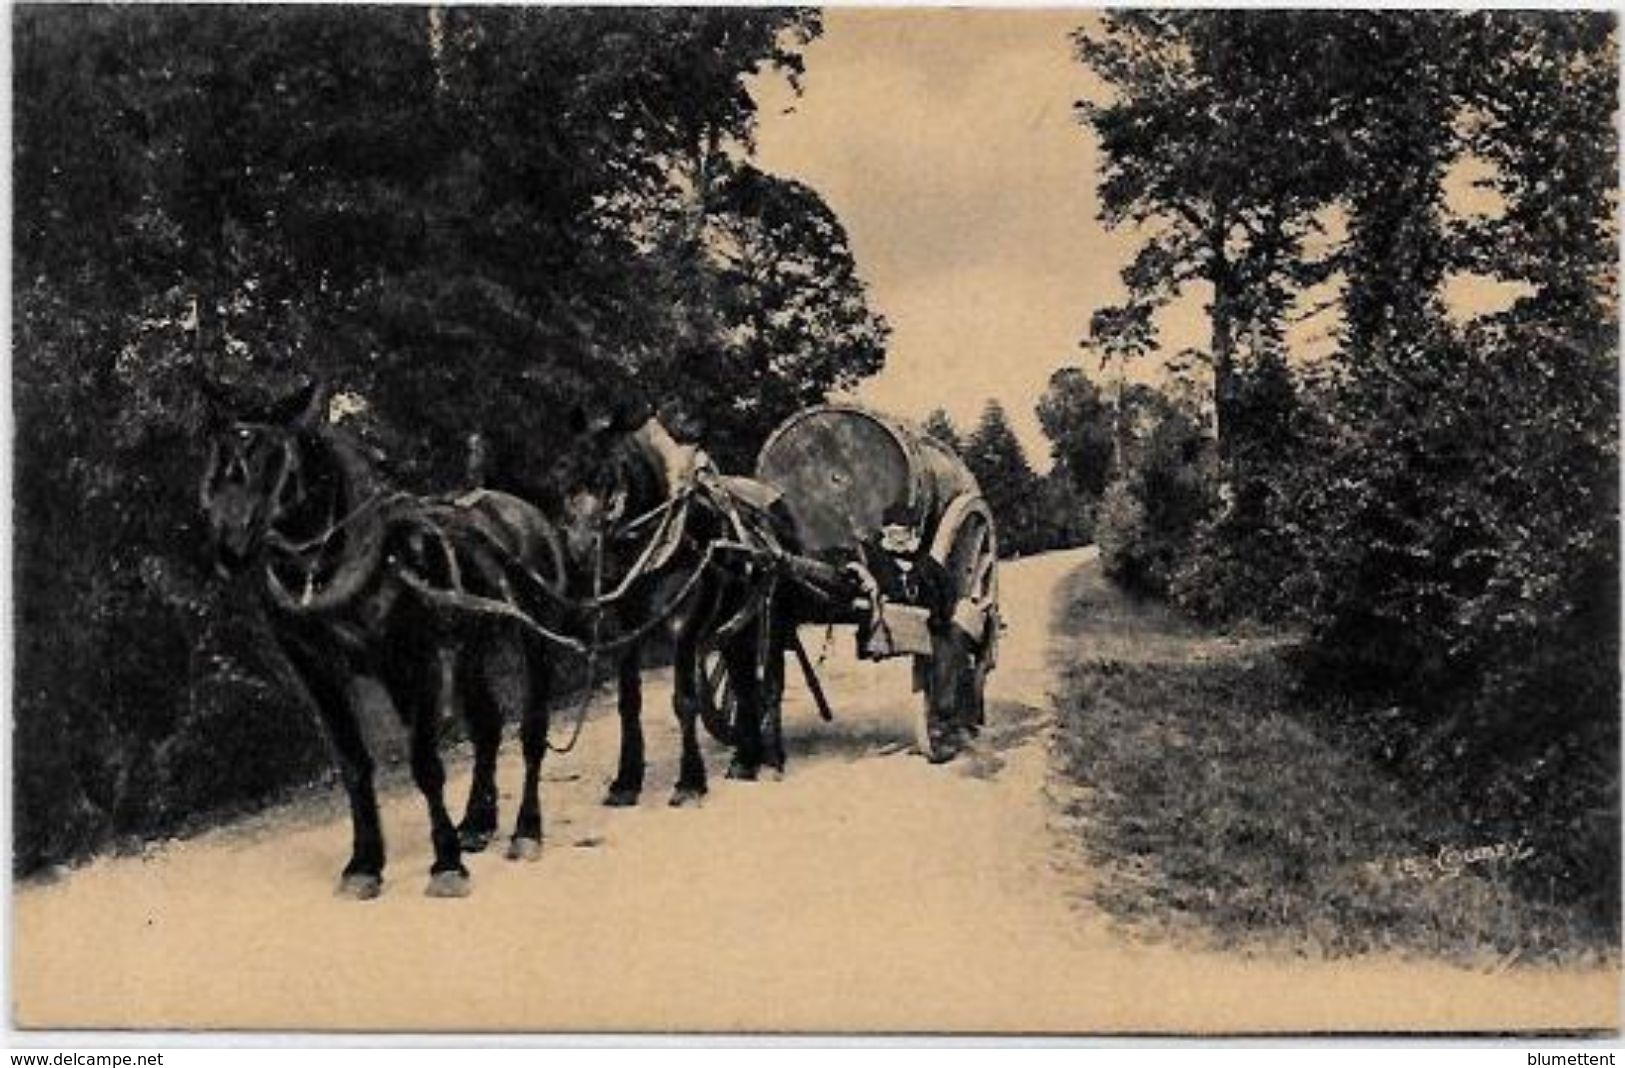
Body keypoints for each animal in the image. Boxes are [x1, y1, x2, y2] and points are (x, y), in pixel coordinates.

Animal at [203, 383, 565, 897]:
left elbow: (425, 763)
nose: (228, 549)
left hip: (534, 641)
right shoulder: (318, 673)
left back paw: (526, 831)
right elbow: (355, 765)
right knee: (488, 728)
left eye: (276, 458)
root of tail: (517, 509)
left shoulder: (416, 663)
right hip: (470, 651)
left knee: (532, 732)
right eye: (217, 457)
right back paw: (478, 823)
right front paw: (364, 864)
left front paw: (446, 864)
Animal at [549, 406, 796, 799]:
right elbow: (629, 702)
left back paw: (771, 758)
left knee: (770, 684)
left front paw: (690, 782)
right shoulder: (627, 630)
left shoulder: (685, 627)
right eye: (562, 471)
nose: (581, 546)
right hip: (735, 626)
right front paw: (626, 782)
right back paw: (745, 760)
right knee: (743, 685)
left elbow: (684, 701)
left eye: (608, 478)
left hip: (772, 616)